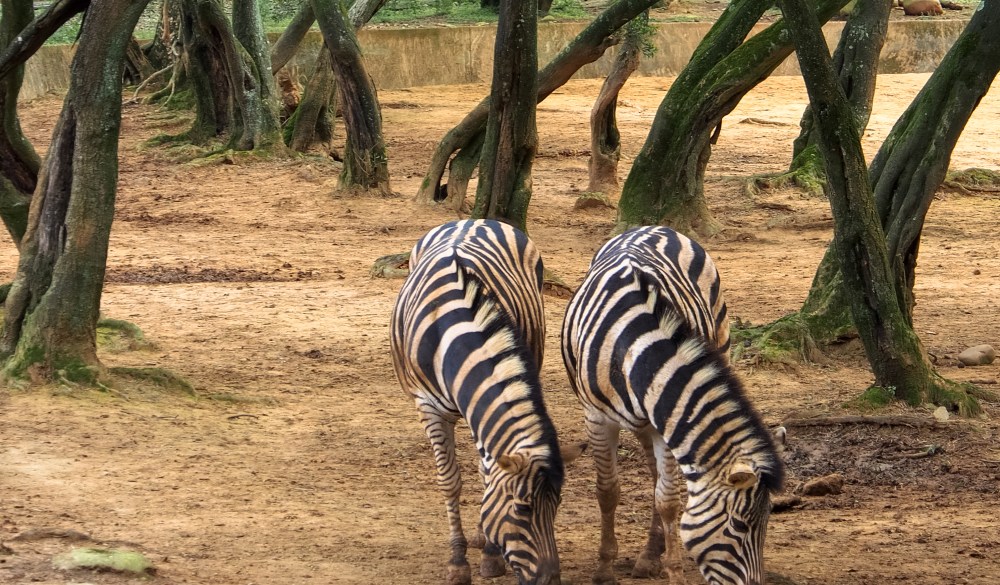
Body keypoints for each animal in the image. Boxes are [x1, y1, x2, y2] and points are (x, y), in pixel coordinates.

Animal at [392, 219, 576, 584]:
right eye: (522, 508)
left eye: (558, 504)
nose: (551, 580)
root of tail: (475, 219)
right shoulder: (428, 407)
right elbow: (449, 481)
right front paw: (457, 561)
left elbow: (487, 474)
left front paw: (490, 554)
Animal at [564, 226, 780, 584]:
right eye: (738, 525)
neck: (632, 348)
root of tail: (654, 226)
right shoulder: (596, 417)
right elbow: (607, 490)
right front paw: (605, 567)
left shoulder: (666, 422)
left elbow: (667, 500)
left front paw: (674, 570)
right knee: (651, 474)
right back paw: (650, 554)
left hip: (717, 343)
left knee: (659, 480)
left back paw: (651, 556)